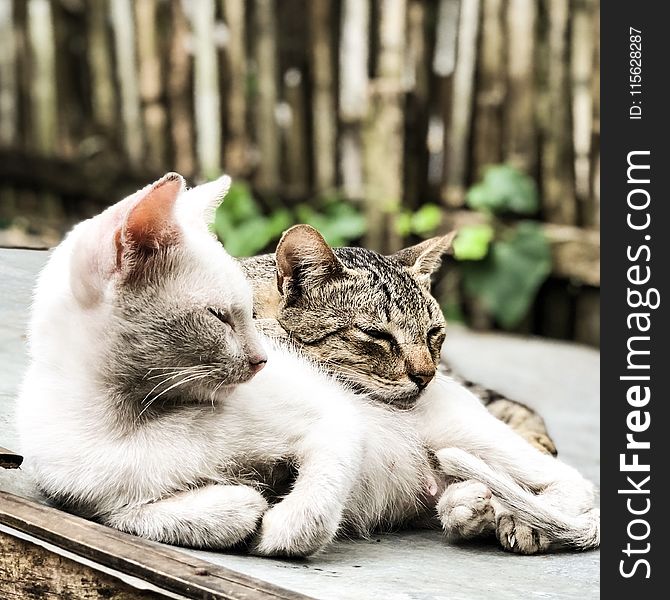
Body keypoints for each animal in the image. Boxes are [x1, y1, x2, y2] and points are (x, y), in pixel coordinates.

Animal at [18, 171, 600, 556]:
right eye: (376, 336)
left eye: (434, 335)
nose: (425, 374)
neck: (134, 418)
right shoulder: (96, 500)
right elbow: (153, 514)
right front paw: (239, 508)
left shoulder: (334, 421)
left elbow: (313, 508)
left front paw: (280, 526)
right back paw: (471, 505)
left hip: (467, 430)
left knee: (567, 480)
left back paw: (515, 512)